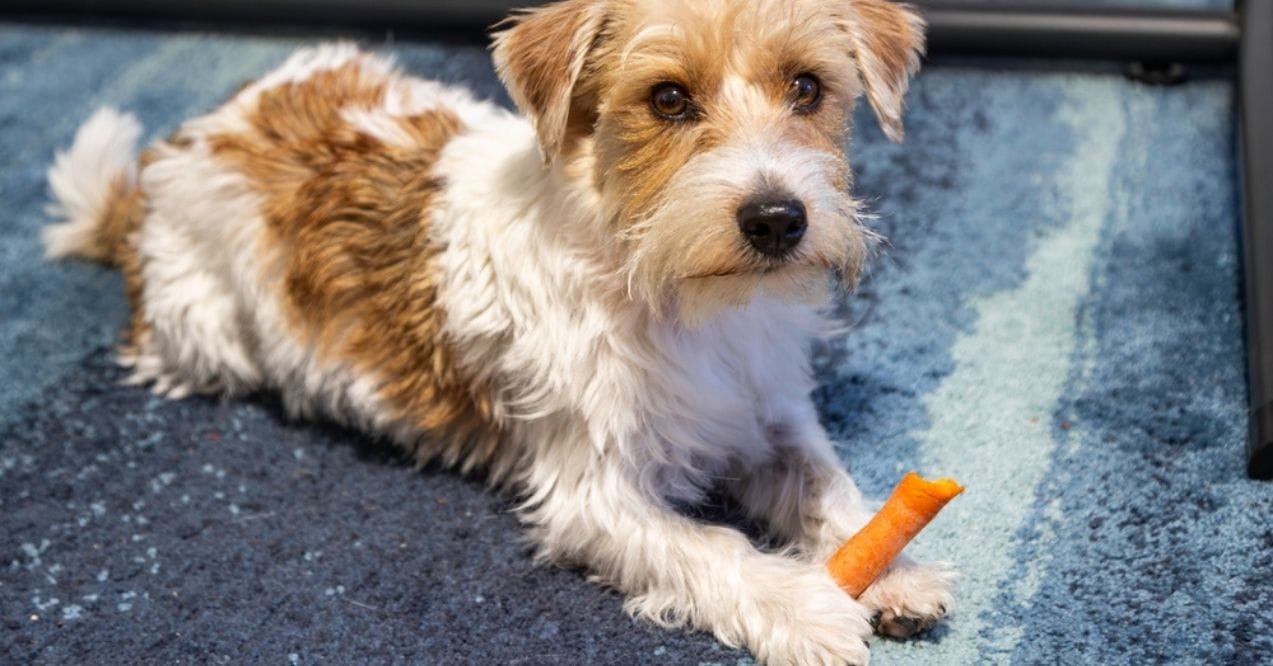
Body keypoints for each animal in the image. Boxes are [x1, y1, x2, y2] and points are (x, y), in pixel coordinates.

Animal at [42, 0, 957, 662]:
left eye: (806, 87)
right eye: (666, 98)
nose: (776, 219)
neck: (675, 290)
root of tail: (178, 151)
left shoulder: (769, 413)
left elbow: (832, 493)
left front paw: (894, 573)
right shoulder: (595, 494)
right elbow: (713, 551)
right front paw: (803, 606)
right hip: (205, 334)